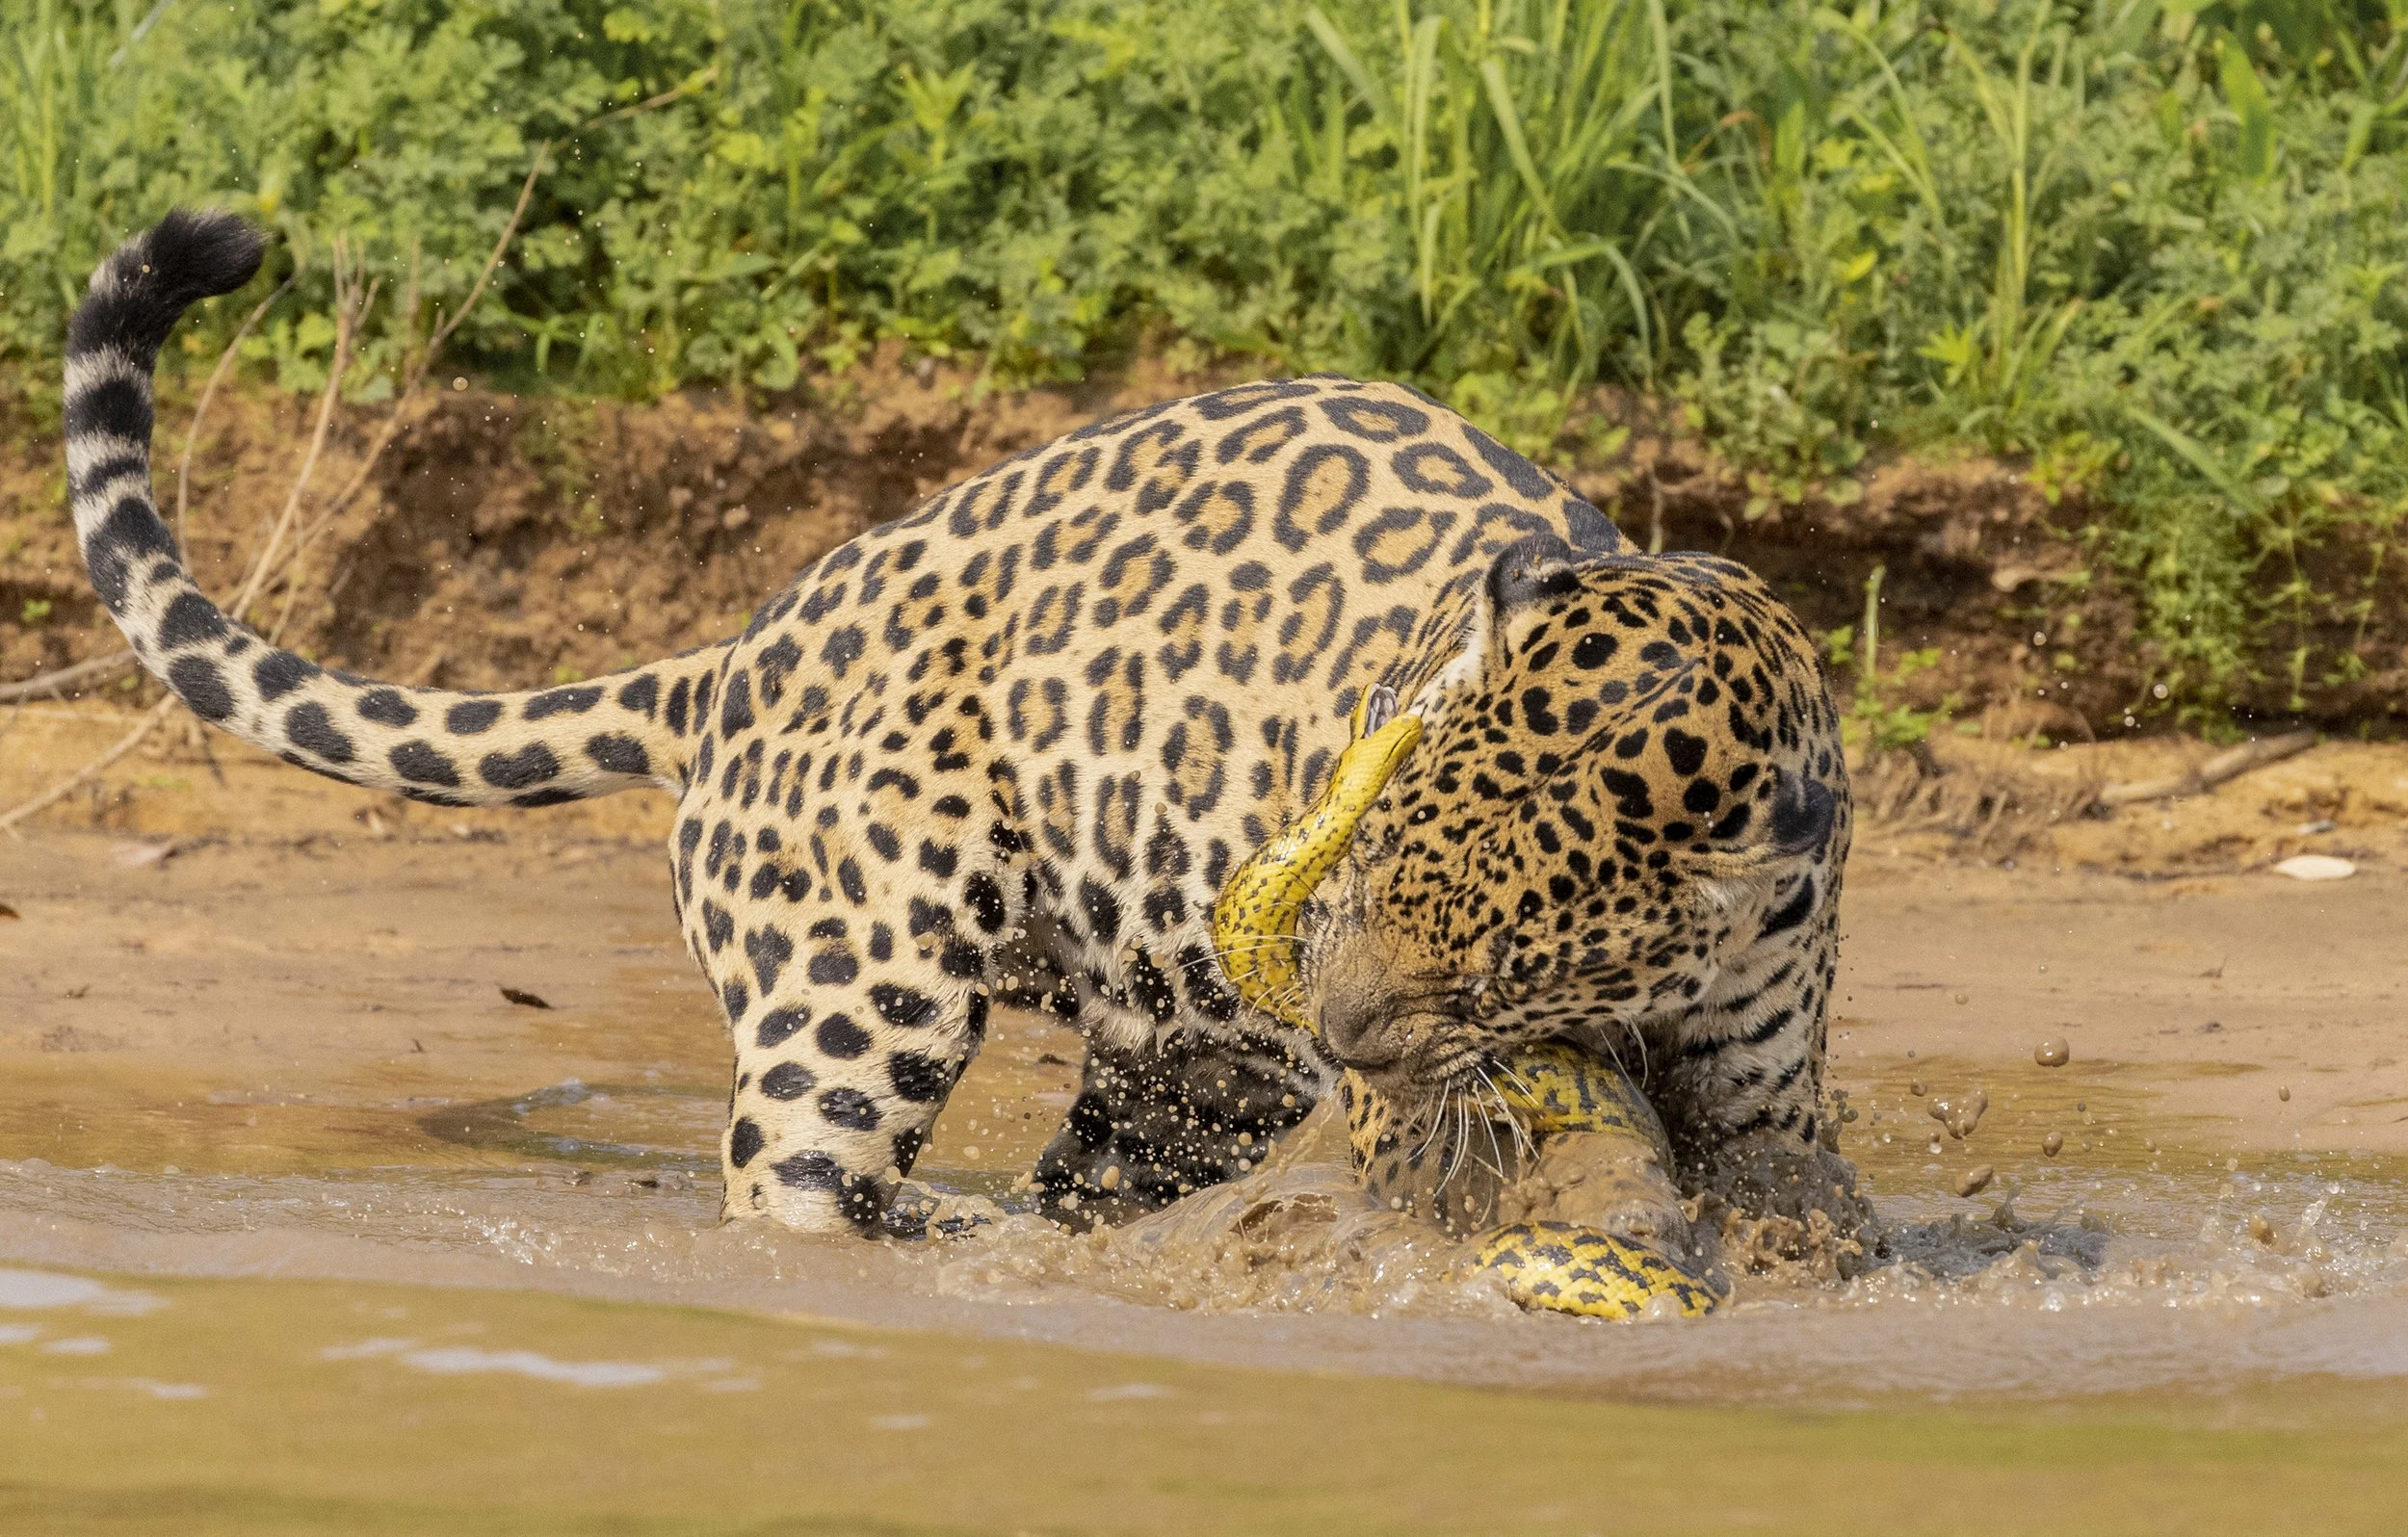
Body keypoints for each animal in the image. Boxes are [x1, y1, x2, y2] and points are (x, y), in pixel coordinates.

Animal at [62, 211, 1854, 1279]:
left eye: (1496, 956)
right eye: (1358, 876)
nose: (1342, 1033)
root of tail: (738, 653)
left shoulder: (1760, 1087)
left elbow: (1795, 1190)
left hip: (1164, 1058)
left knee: (1098, 1168)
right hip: (868, 976)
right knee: (789, 1177)